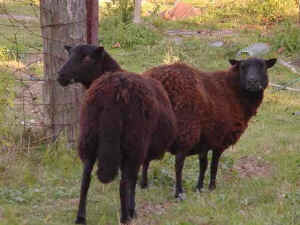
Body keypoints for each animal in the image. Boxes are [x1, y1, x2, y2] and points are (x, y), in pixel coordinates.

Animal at [57, 44, 177, 224]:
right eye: (69, 54)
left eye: (87, 58)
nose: (60, 75)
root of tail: (113, 92)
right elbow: (133, 181)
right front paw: (132, 210)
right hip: (133, 141)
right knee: (125, 181)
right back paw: (125, 216)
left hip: (89, 137)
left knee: (85, 179)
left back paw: (80, 217)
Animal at [142, 58, 276, 199]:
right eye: (242, 67)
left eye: (263, 66)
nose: (252, 81)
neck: (232, 90)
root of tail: (160, 80)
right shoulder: (220, 139)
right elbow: (213, 165)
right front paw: (212, 187)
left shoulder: (206, 140)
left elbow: (203, 164)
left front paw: (199, 188)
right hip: (186, 130)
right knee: (178, 164)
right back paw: (179, 192)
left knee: (146, 158)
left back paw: (144, 185)